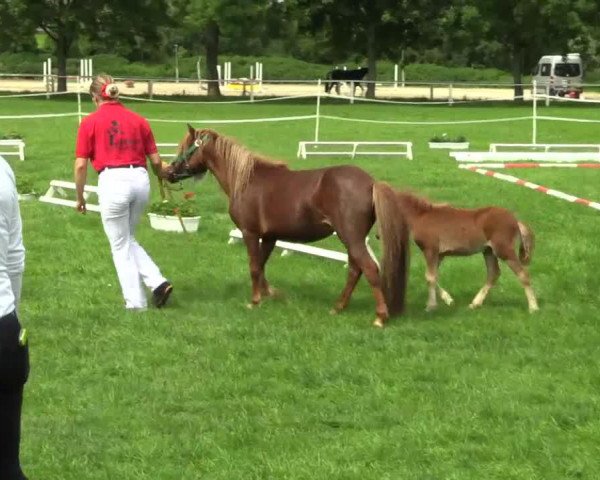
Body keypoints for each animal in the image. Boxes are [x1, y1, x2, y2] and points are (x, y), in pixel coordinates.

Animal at [394, 191, 540, 316]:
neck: (421, 215)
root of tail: (515, 221)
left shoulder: (430, 250)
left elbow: (430, 277)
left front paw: (430, 306)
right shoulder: (439, 255)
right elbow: (432, 276)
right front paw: (448, 300)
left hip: (503, 250)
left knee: (523, 274)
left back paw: (533, 307)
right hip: (488, 251)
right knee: (494, 273)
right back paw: (475, 303)